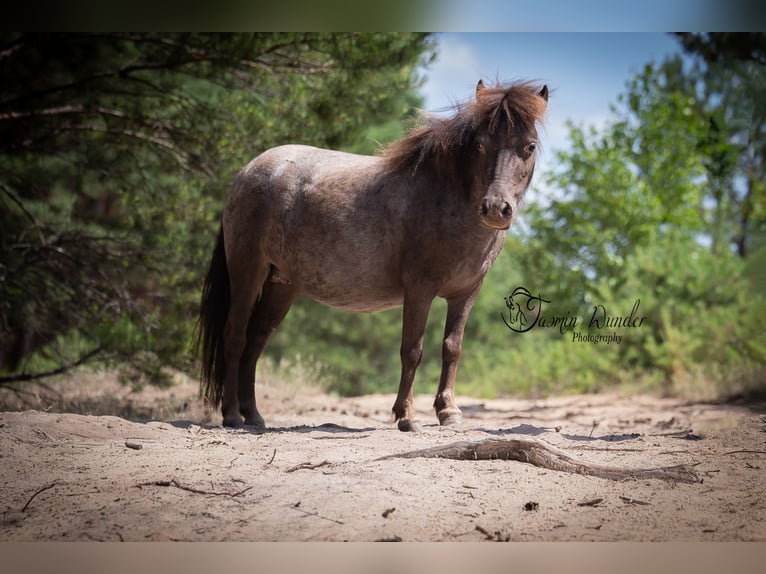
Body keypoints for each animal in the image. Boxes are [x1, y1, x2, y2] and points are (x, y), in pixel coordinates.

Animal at [196, 79, 548, 431]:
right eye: (480, 145)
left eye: (529, 147)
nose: (496, 209)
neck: (447, 199)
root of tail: (247, 171)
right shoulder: (420, 289)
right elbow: (412, 350)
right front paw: (406, 416)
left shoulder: (466, 293)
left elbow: (452, 348)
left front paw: (448, 412)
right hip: (247, 270)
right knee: (235, 335)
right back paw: (232, 414)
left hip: (280, 284)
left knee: (256, 339)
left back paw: (254, 415)